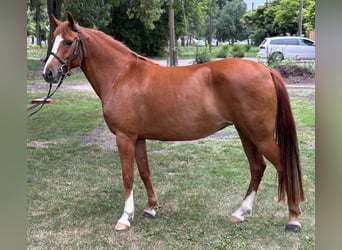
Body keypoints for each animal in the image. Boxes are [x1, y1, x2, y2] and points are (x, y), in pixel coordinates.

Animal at [42, 13, 304, 232]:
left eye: (68, 42)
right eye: (52, 39)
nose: (48, 73)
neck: (122, 76)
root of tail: (267, 70)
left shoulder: (124, 137)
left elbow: (127, 175)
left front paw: (125, 218)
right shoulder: (138, 137)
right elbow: (144, 171)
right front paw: (151, 207)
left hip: (260, 135)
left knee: (283, 166)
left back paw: (293, 218)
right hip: (245, 132)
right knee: (257, 167)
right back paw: (240, 212)